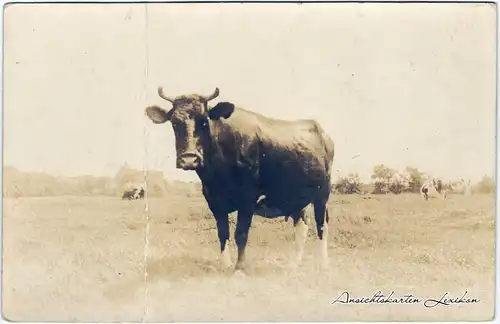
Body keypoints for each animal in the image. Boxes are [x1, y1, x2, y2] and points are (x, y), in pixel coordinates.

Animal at [146, 86, 338, 270]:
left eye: (204, 121)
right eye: (174, 123)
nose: (188, 159)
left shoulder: (248, 198)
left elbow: (241, 233)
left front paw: (240, 267)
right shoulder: (214, 200)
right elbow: (223, 233)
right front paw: (225, 265)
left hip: (323, 193)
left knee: (322, 225)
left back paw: (322, 263)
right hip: (294, 197)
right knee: (302, 225)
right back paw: (293, 265)